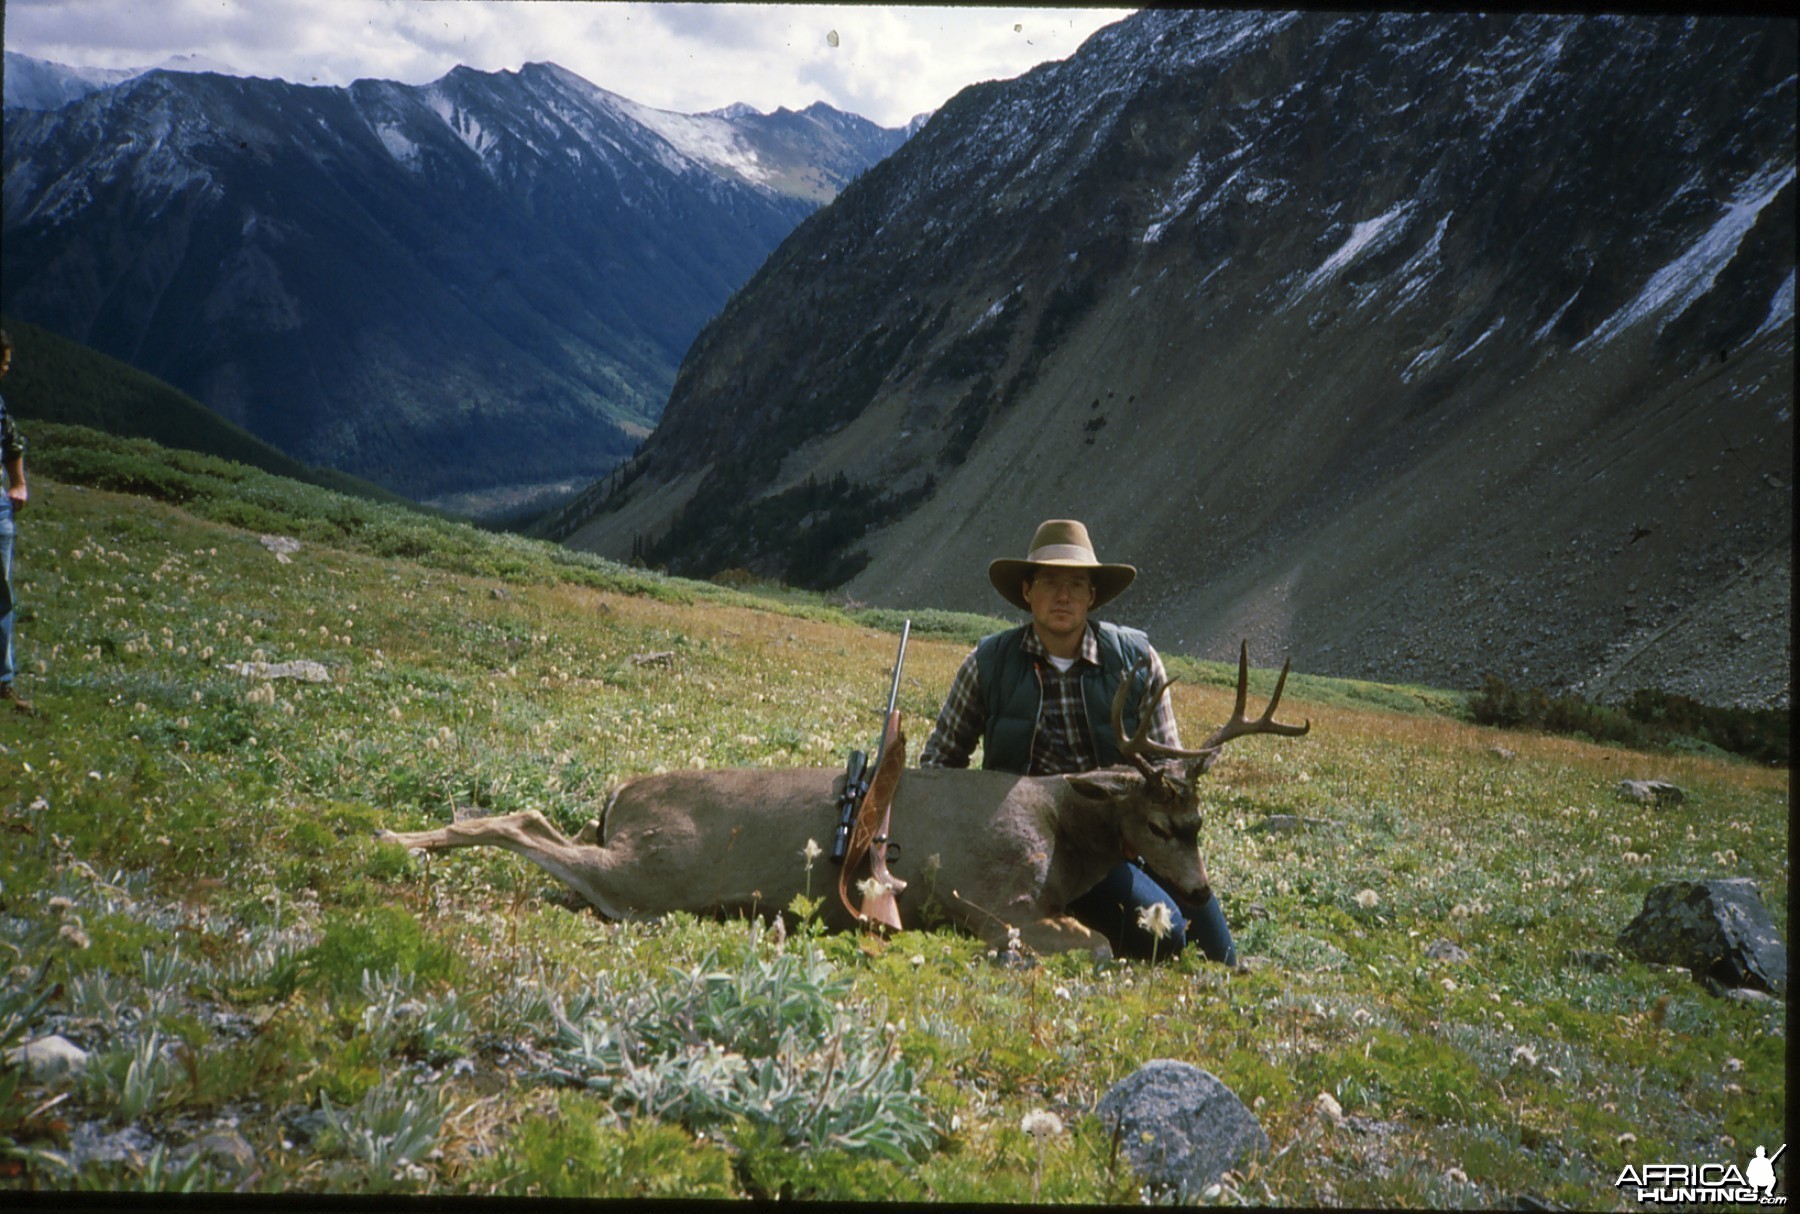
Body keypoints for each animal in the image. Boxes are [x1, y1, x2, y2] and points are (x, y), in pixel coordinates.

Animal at [379, 637, 1310, 958]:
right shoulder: (987, 892)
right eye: (1159, 820)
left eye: (1200, 821)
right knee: (527, 823)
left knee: (541, 824)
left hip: (634, 861)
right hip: (651, 873)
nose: (1198, 893)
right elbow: (1097, 945)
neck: (1059, 830)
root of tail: (621, 795)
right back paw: (400, 840)